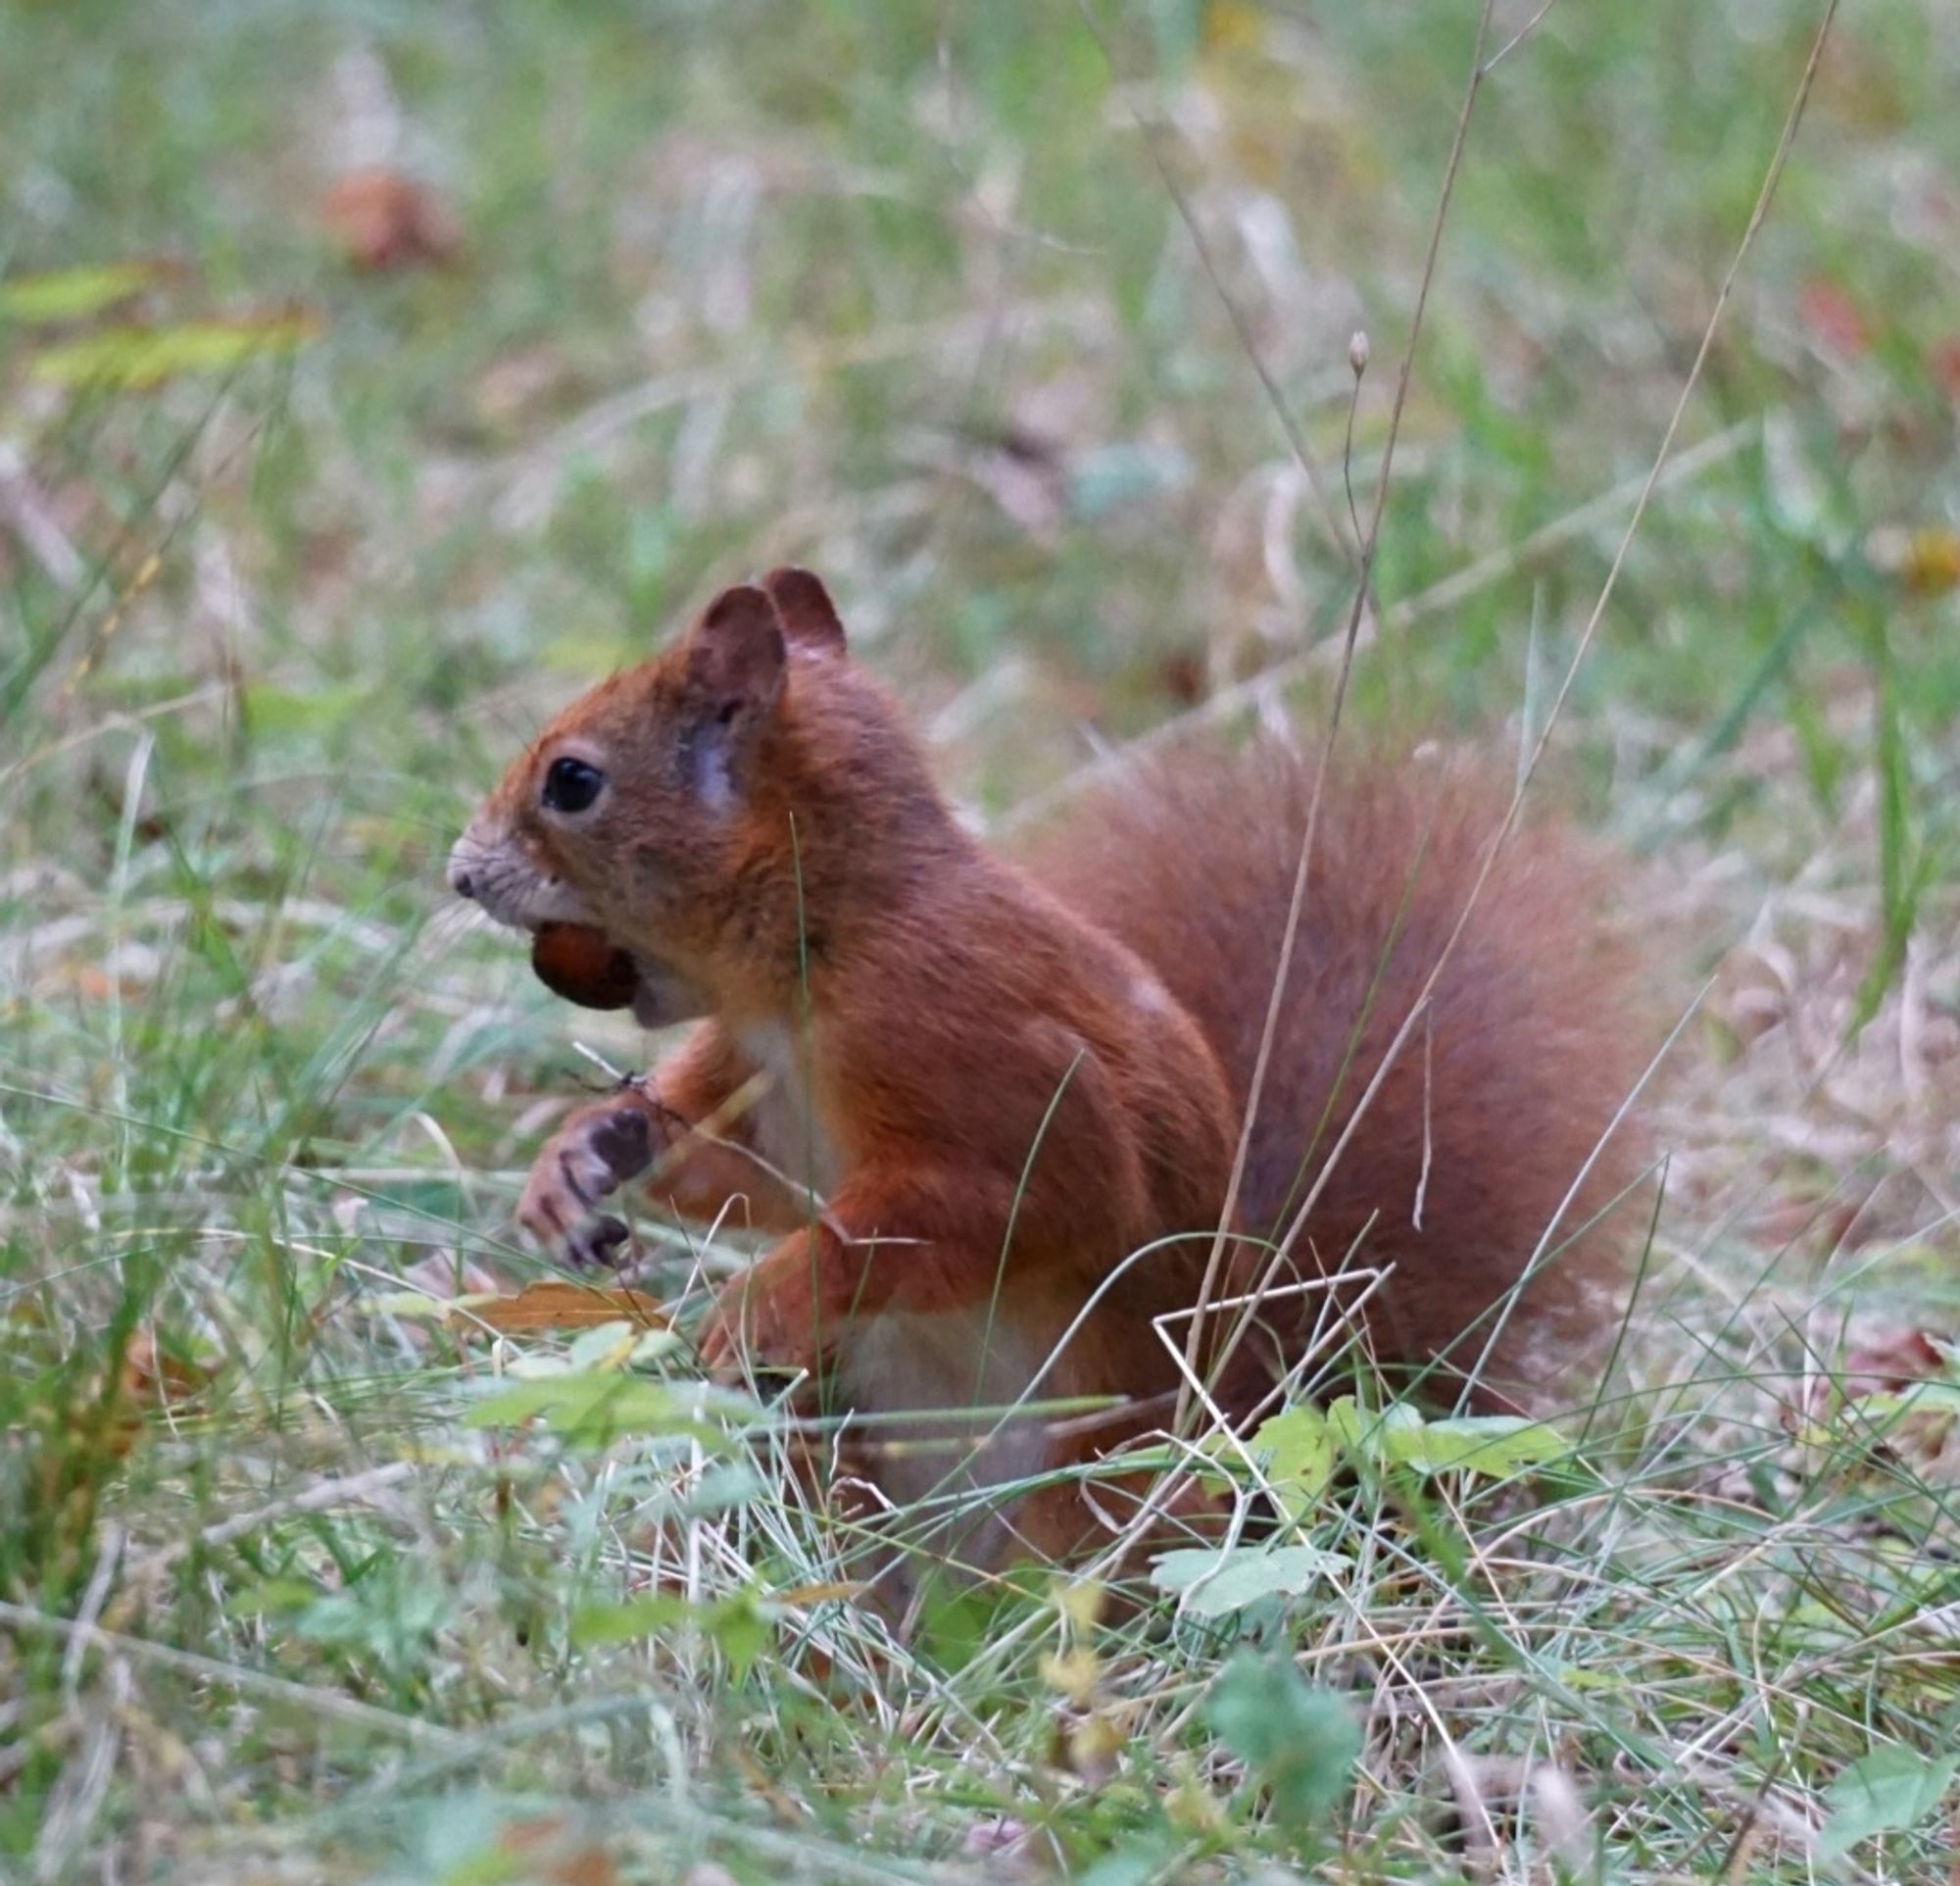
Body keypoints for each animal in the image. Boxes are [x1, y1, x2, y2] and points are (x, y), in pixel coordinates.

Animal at [449, 572, 1654, 1561]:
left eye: (571, 781)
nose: (461, 874)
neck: (820, 949)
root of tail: (1251, 1406)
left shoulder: (964, 1050)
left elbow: (1017, 1205)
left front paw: (763, 1298)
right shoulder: (765, 1090)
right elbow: (741, 1172)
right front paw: (585, 1156)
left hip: (1091, 1497)